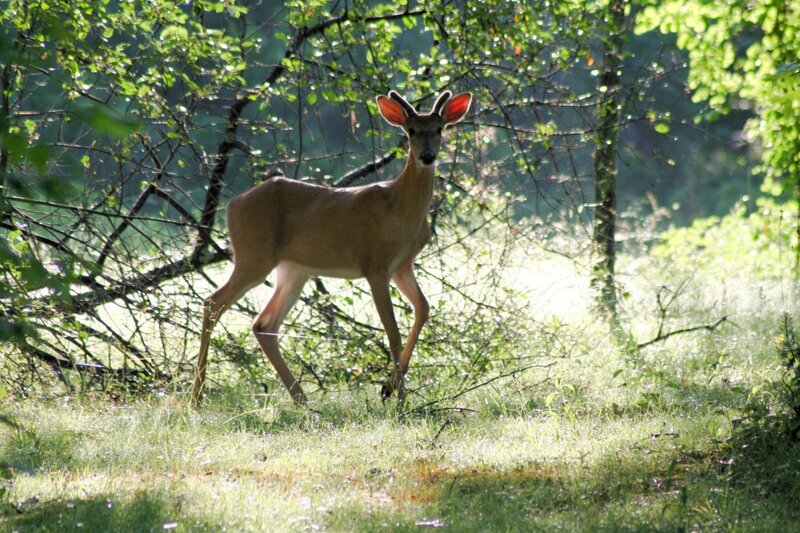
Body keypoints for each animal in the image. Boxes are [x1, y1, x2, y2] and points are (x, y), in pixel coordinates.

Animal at [191, 90, 472, 405]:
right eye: (410, 131)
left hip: (293, 269)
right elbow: (393, 333)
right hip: (254, 254)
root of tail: (232, 205)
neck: (400, 208)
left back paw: (302, 400)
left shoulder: (402, 264)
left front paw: (389, 387)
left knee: (264, 324)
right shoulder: (375, 264)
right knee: (213, 303)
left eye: (439, 129)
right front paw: (400, 399)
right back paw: (197, 396)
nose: (427, 156)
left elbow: (423, 309)